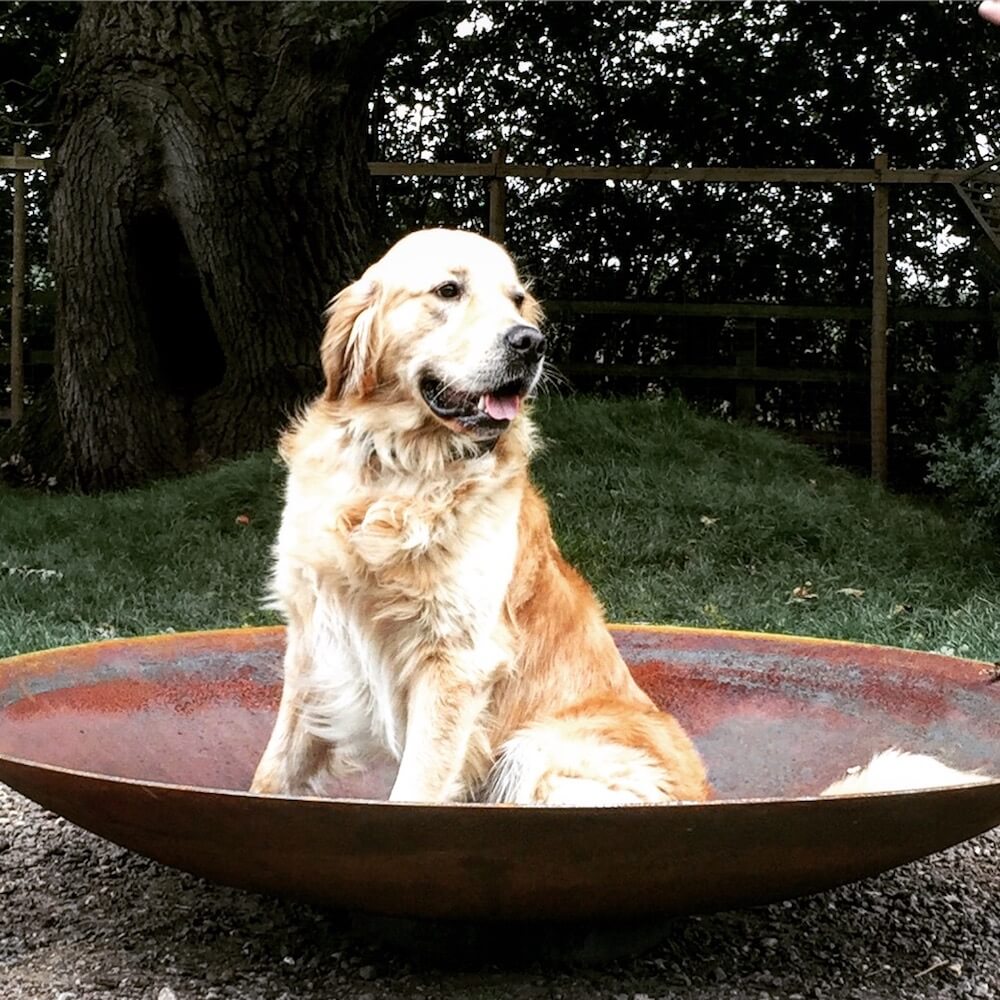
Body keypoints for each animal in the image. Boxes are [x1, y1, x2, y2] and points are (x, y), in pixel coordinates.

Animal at [252, 227, 992, 804]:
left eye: (516, 299)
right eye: (447, 291)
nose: (530, 341)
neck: (397, 473)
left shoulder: (454, 662)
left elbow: (418, 789)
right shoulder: (315, 638)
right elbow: (273, 771)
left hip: (537, 749)